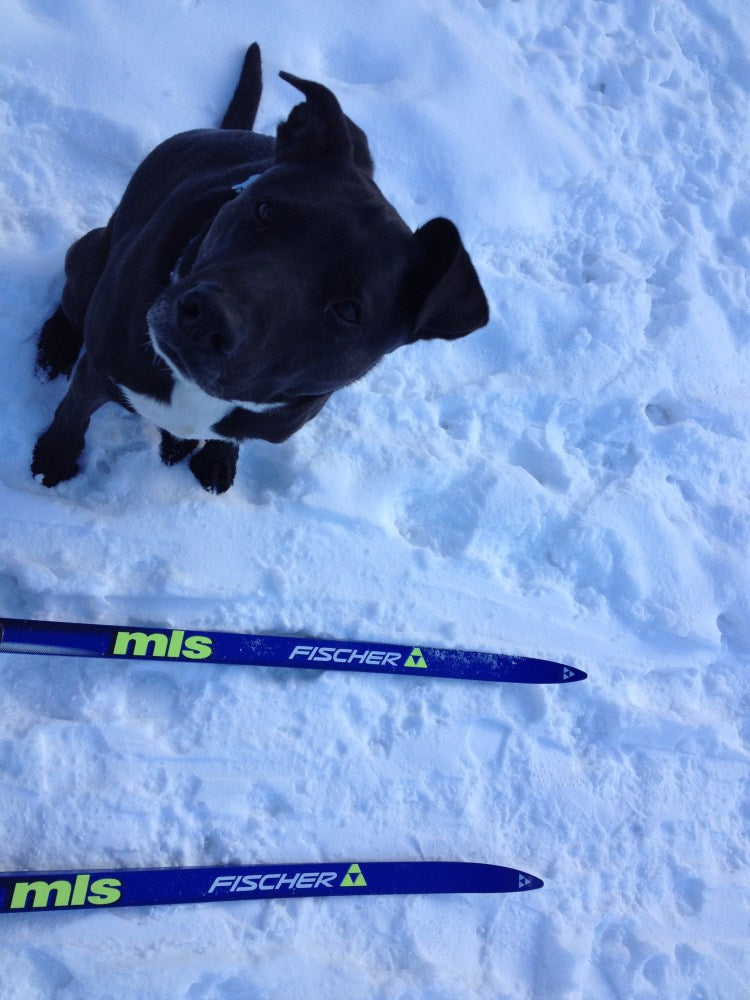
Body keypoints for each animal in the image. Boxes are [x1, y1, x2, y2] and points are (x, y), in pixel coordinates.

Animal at [33, 47, 494, 492]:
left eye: (348, 311)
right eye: (266, 210)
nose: (206, 317)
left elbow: (230, 436)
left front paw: (216, 457)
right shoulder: (99, 370)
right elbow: (73, 414)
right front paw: (55, 458)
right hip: (89, 261)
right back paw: (56, 347)